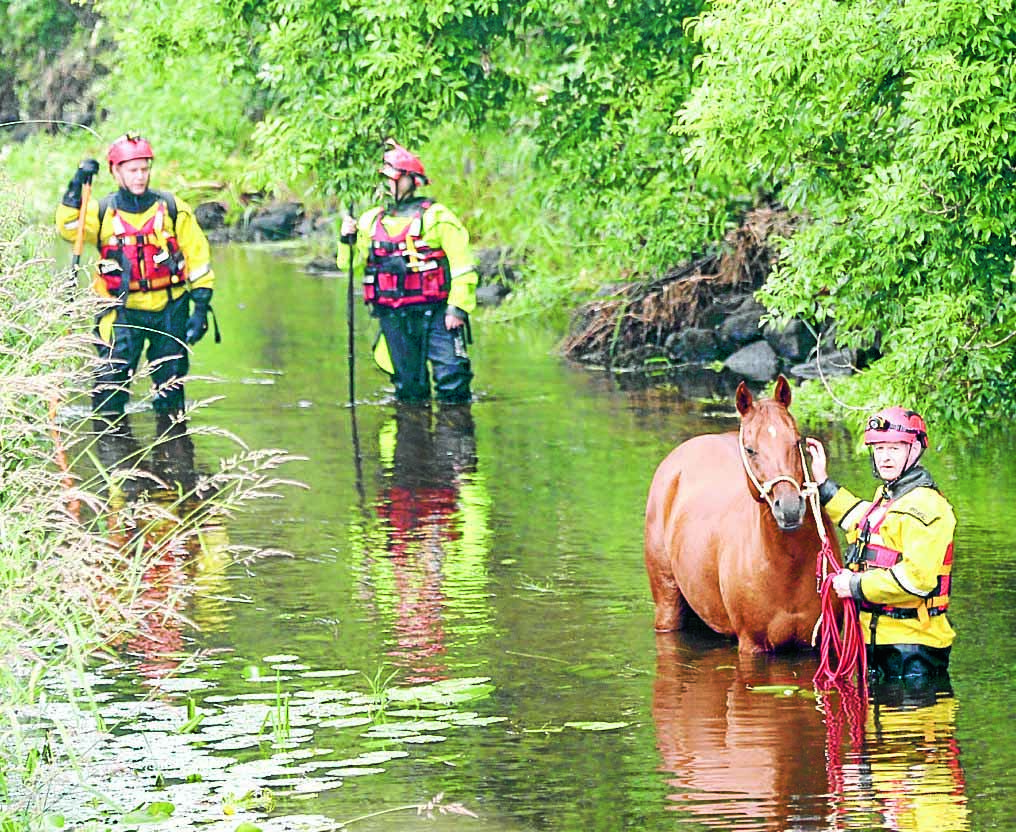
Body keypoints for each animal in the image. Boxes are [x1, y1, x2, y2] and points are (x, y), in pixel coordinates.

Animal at [646, 373, 837, 654]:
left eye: (797, 441)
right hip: (667, 604)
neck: (787, 569)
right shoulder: (751, 644)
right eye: (750, 449)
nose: (789, 508)